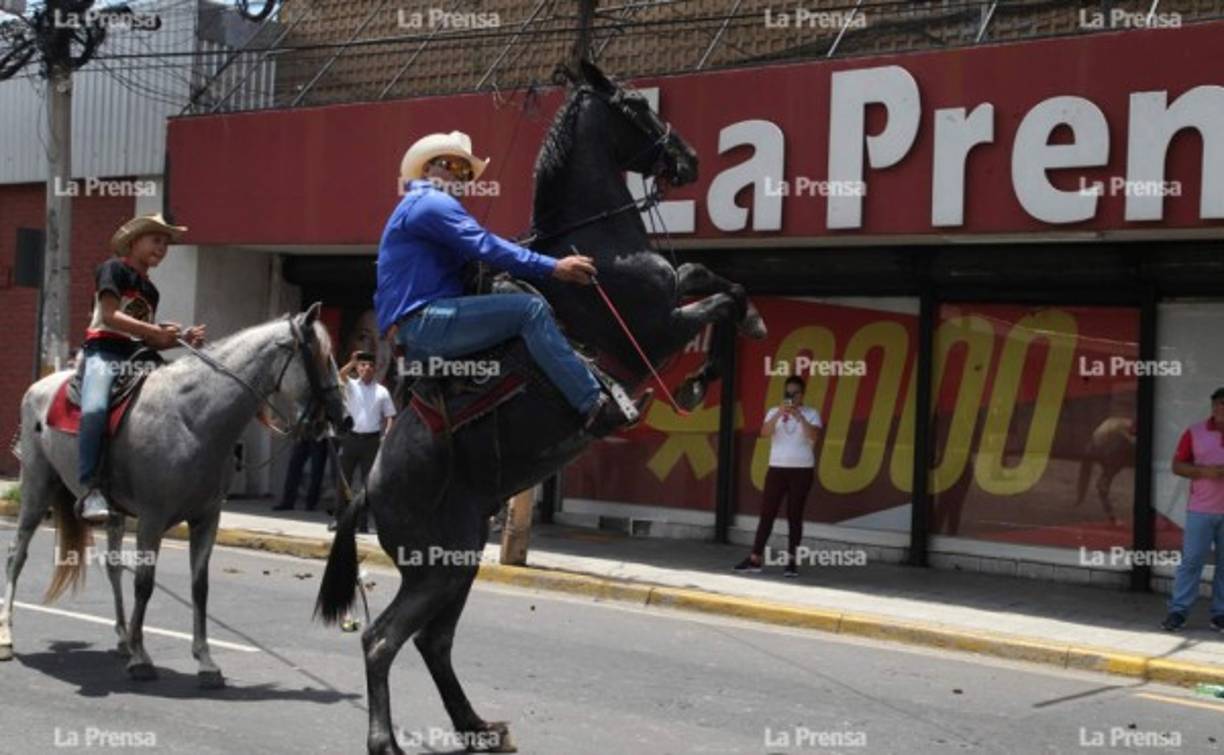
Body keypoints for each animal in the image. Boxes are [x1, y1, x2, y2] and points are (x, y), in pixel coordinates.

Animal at [2, 303, 349, 687]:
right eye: (322, 356)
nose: (343, 418)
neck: (192, 418)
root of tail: (39, 386)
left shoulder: (207, 518)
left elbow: (200, 587)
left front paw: (206, 661)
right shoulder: (152, 519)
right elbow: (144, 583)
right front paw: (141, 658)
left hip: (112, 511)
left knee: (112, 567)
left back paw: (122, 638)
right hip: (37, 487)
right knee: (17, 555)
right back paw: (7, 636)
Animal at [315, 59, 766, 754]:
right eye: (636, 105)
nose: (688, 158)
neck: (596, 246)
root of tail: (370, 487)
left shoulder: (669, 296)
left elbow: (709, 276)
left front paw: (738, 337)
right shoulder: (657, 330)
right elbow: (721, 298)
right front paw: (706, 373)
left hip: (458, 559)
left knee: (434, 641)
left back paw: (478, 727)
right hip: (436, 568)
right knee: (382, 638)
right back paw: (387, 740)